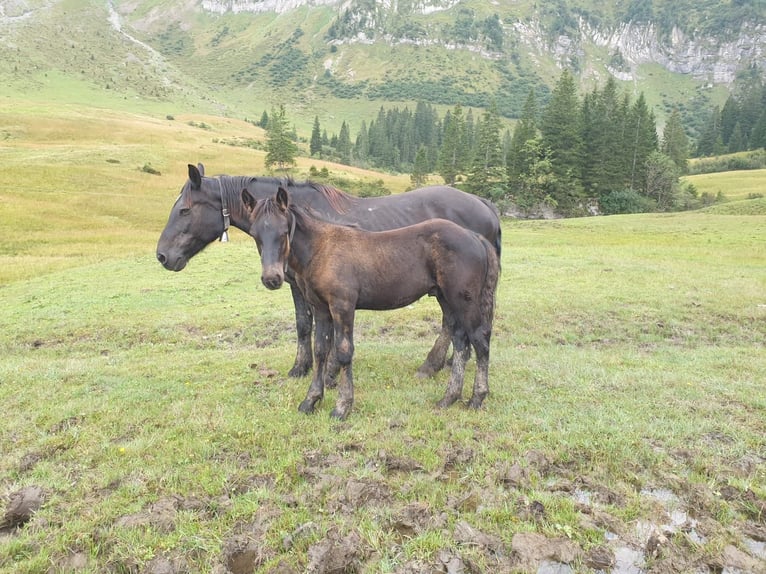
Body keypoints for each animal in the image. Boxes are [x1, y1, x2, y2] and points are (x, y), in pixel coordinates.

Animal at [156, 165, 504, 382]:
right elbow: (304, 325)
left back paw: (432, 365)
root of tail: (485, 204)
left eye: (184, 210)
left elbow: (315, 328)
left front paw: (320, 370)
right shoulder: (299, 286)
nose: (162, 255)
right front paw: (303, 368)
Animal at [243, 187, 500, 420]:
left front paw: (342, 407)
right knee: (460, 342)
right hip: (446, 299)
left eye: (284, 231)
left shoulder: (343, 306)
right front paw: (310, 401)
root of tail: (474, 237)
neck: (322, 249)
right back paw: (448, 398)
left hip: (464, 301)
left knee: (480, 341)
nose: (272, 278)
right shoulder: (321, 308)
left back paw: (476, 398)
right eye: (255, 233)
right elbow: (321, 350)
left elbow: (344, 352)